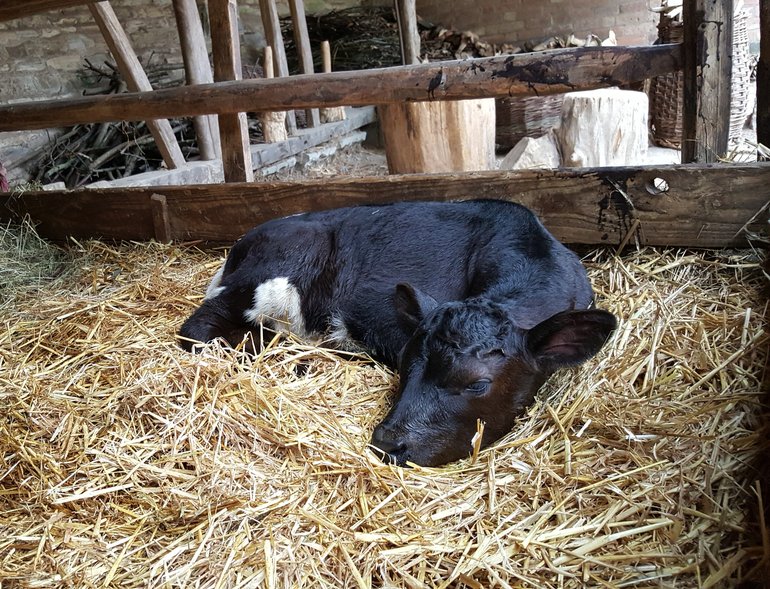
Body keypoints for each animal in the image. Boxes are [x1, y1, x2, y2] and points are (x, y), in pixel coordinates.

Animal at [179, 199, 617, 467]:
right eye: (407, 363)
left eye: (478, 384)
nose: (388, 443)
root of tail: (243, 243)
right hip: (272, 273)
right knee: (198, 330)